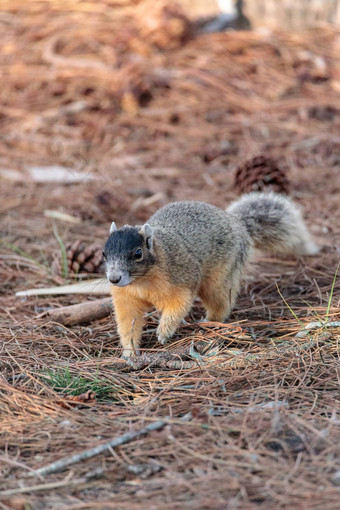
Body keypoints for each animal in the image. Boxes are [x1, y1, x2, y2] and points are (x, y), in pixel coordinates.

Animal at [102, 192, 318, 358]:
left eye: (138, 253)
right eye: (104, 253)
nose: (114, 278)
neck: (142, 281)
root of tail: (238, 224)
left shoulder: (181, 279)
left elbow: (178, 305)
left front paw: (164, 331)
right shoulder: (126, 298)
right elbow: (128, 321)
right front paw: (129, 351)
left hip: (220, 278)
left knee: (221, 302)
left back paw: (210, 320)